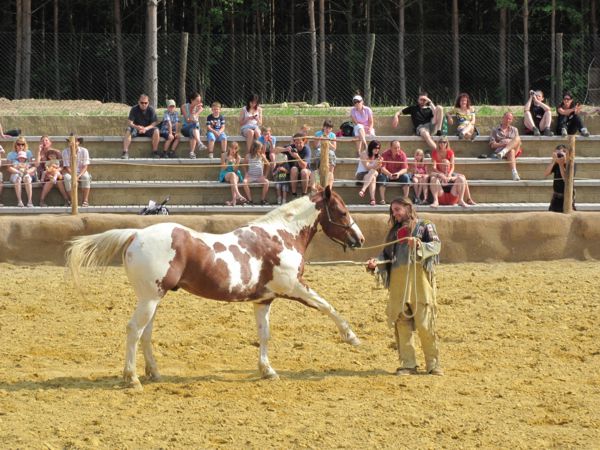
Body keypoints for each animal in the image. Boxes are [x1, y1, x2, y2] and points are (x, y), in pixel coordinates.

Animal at [66, 185, 366, 388]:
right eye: (342, 211)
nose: (359, 239)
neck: (279, 237)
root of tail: (135, 234)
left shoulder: (263, 300)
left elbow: (265, 335)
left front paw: (267, 370)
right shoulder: (294, 287)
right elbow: (328, 306)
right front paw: (351, 337)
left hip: (153, 299)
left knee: (146, 334)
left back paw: (154, 373)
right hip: (149, 299)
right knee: (133, 331)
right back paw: (132, 378)